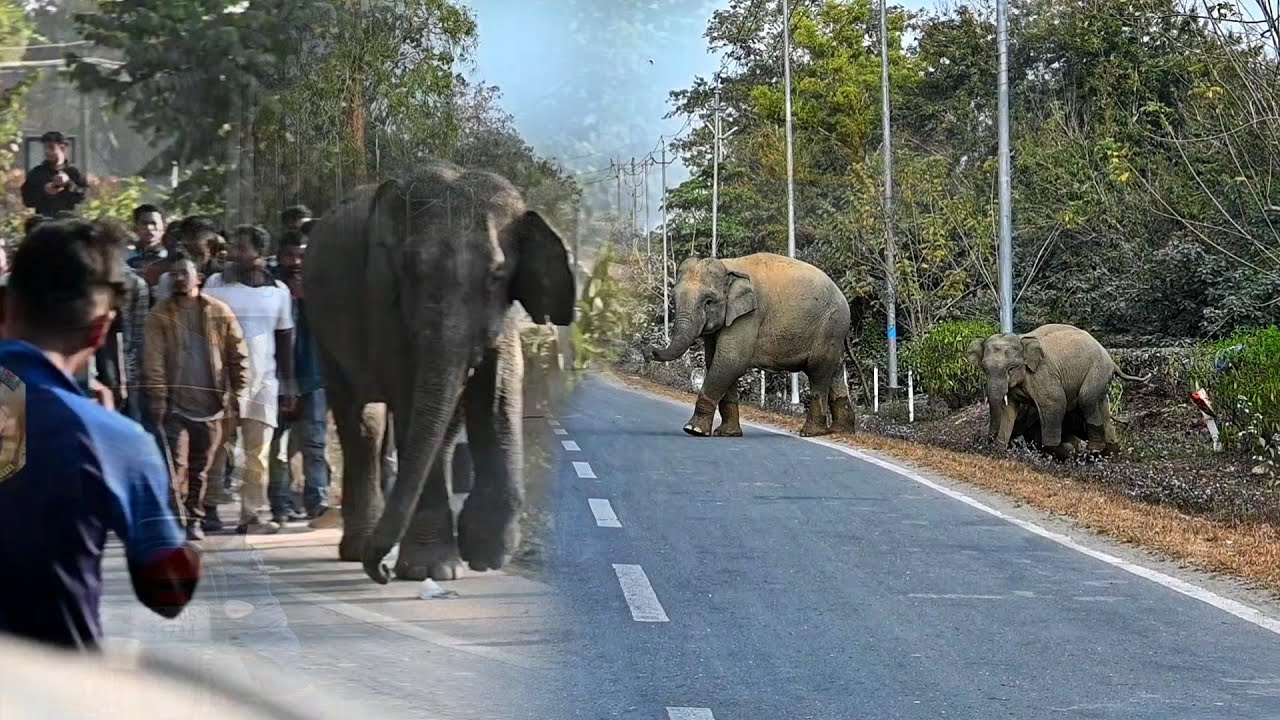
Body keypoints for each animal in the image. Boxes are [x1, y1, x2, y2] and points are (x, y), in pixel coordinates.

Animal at [303, 160, 576, 584]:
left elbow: (498, 392)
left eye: (496, 275)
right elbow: (410, 397)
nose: (381, 570)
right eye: (409, 268)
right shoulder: (382, 297)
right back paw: (358, 549)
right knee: (361, 422)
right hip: (321, 328)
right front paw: (428, 570)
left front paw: (485, 555)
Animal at [642, 253, 858, 438]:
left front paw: (693, 430)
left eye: (708, 301)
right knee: (834, 372)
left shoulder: (749, 316)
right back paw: (840, 431)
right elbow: (716, 362)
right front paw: (727, 434)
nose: (647, 351)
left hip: (830, 326)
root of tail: (843, 298)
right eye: (673, 297)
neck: (728, 266)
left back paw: (811, 433)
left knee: (818, 371)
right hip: (834, 332)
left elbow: (730, 361)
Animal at [966, 323, 1150, 459]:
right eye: (984, 368)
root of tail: (1112, 360)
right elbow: (1009, 409)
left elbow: (1054, 404)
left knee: (1087, 401)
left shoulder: (1043, 375)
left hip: (1097, 370)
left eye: (1011, 368)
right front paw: (1000, 449)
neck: (1022, 339)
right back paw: (1108, 453)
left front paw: (1061, 450)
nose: (985, 442)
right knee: (1101, 405)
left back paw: (1093, 450)